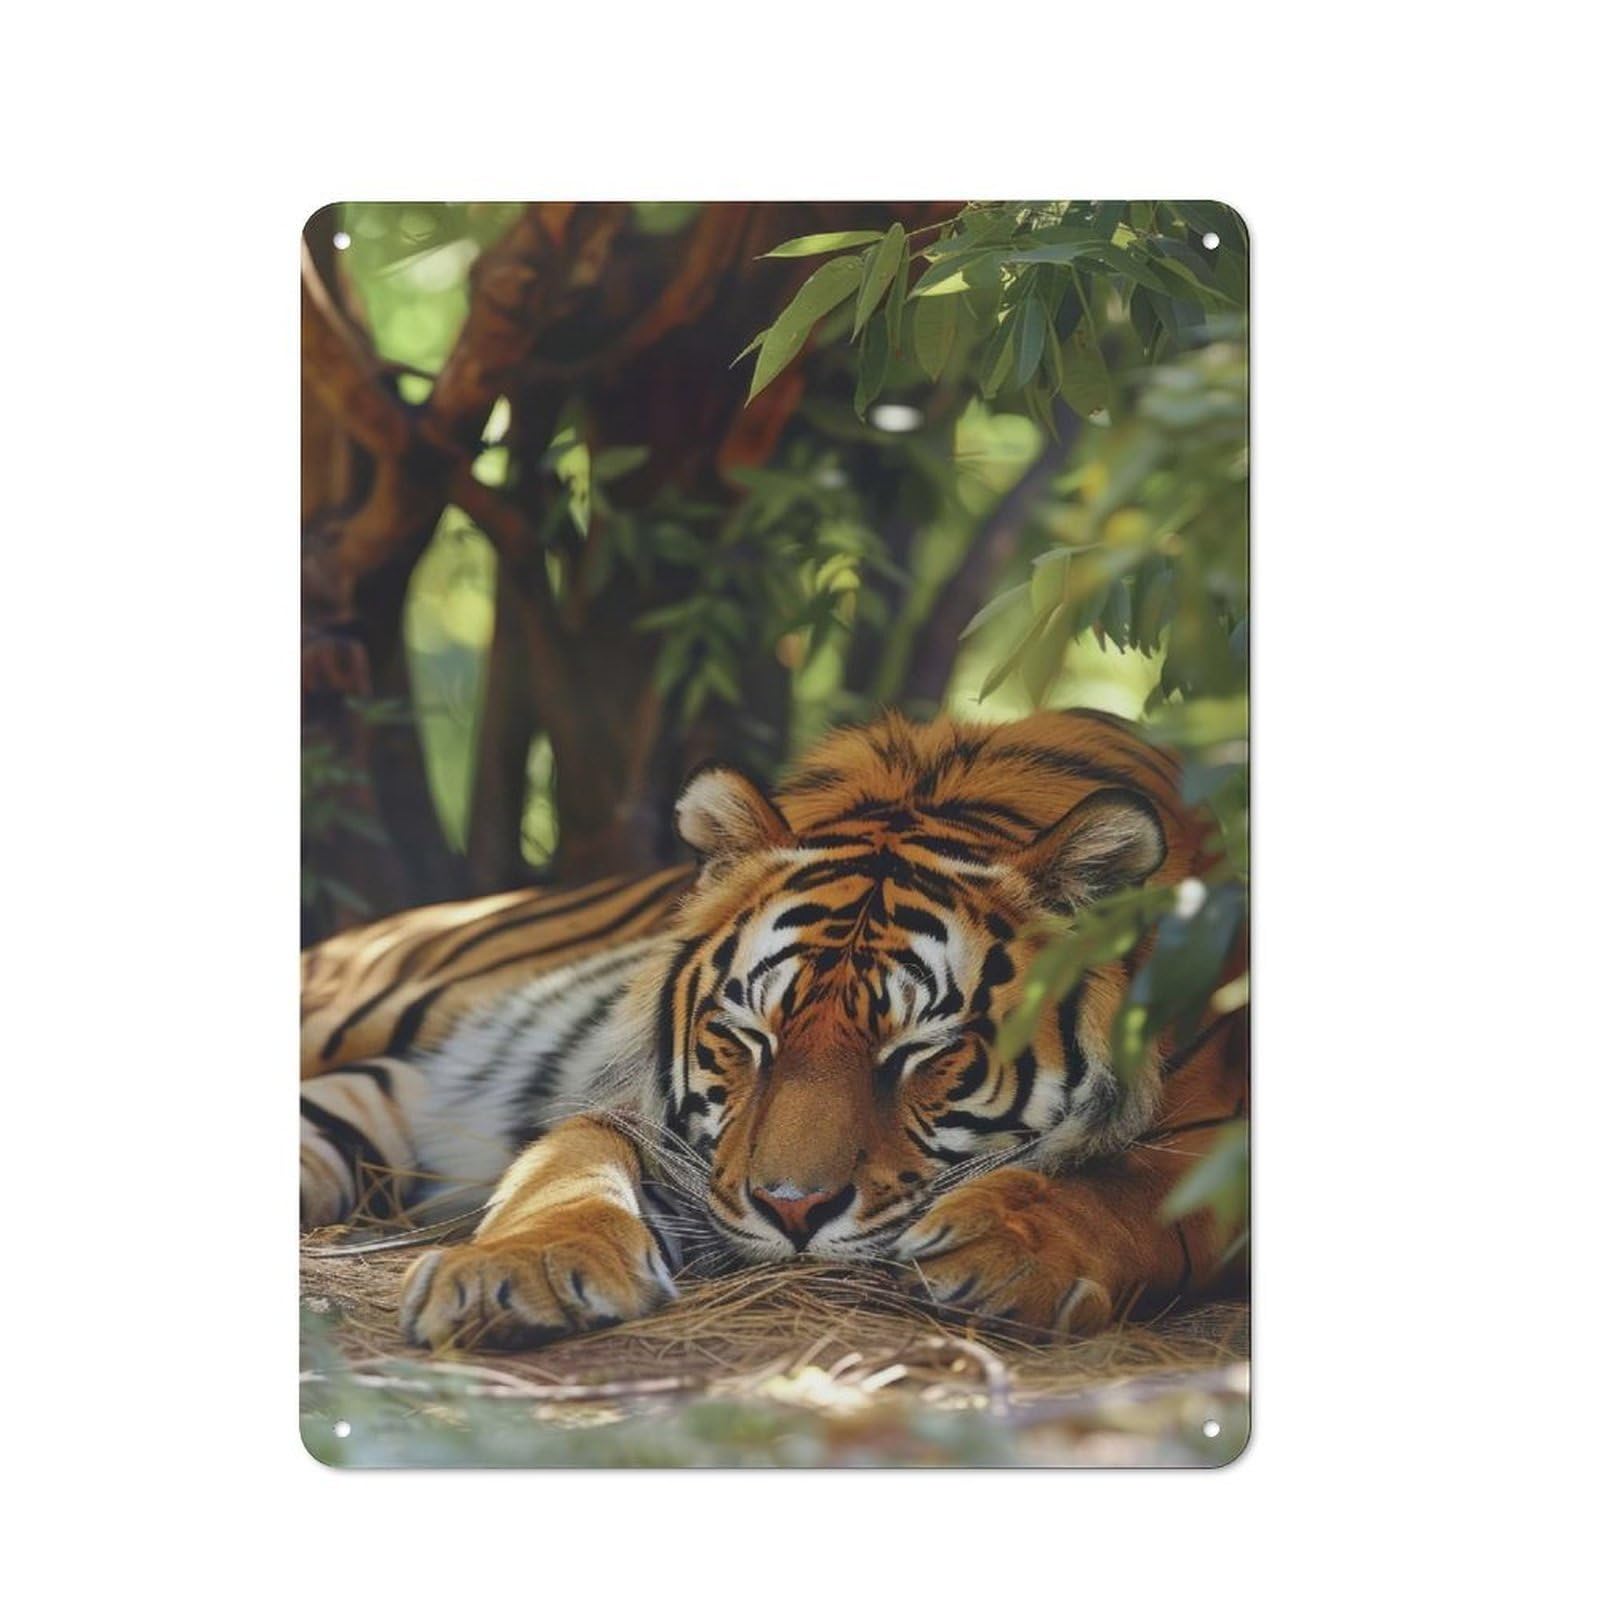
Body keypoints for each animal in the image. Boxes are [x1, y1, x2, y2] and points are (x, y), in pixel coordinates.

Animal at [300, 708, 1247, 1349]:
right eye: (749, 1036)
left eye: (920, 1053)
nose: (794, 1211)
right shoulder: (666, 1138)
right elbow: (566, 1166)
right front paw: (516, 1274)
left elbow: (1129, 1189)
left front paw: (1006, 1244)